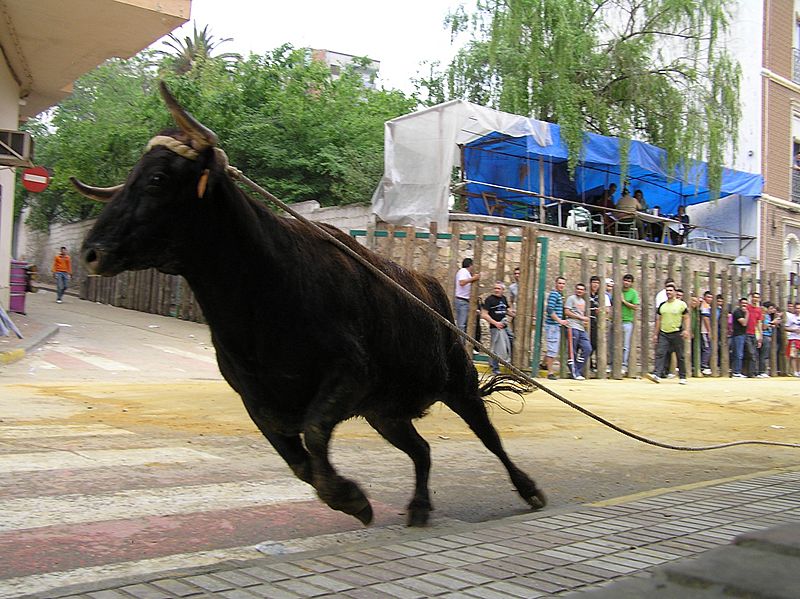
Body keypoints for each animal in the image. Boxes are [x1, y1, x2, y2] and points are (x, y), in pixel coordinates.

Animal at [72, 82, 546, 527]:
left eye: (157, 179)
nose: (91, 252)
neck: (261, 296)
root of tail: (434, 290)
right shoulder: (258, 401)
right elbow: (298, 461)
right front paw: (346, 498)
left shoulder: (348, 374)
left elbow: (315, 434)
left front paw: (350, 497)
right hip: (385, 412)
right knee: (422, 450)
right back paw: (418, 507)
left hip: (458, 383)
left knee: (490, 438)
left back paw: (529, 490)